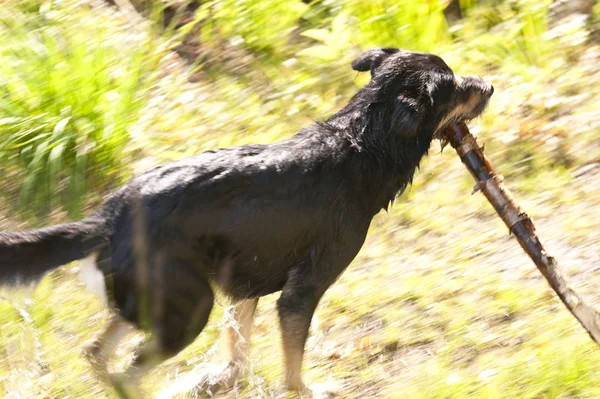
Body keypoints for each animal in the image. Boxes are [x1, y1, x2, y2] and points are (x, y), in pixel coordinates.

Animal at [0, 48, 492, 398]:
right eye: (452, 86)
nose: (488, 85)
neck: (363, 142)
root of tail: (109, 217)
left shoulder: (246, 285)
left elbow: (238, 353)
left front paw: (223, 380)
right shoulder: (300, 293)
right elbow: (292, 370)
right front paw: (310, 390)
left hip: (154, 301)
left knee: (96, 354)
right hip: (189, 307)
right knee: (127, 374)